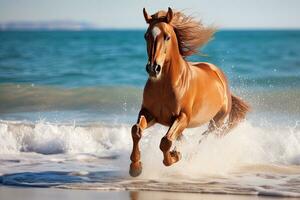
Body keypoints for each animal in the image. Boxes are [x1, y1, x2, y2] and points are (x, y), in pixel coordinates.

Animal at [130, 7, 250, 177]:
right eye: (146, 36)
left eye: (167, 37)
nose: (153, 68)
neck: (164, 86)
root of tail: (219, 75)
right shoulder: (149, 113)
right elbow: (136, 130)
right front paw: (135, 168)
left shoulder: (183, 117)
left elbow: (165, 141)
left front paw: (175, 157)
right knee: (183, 138)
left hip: (217, 122)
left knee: (204, 138)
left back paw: (191, 157)